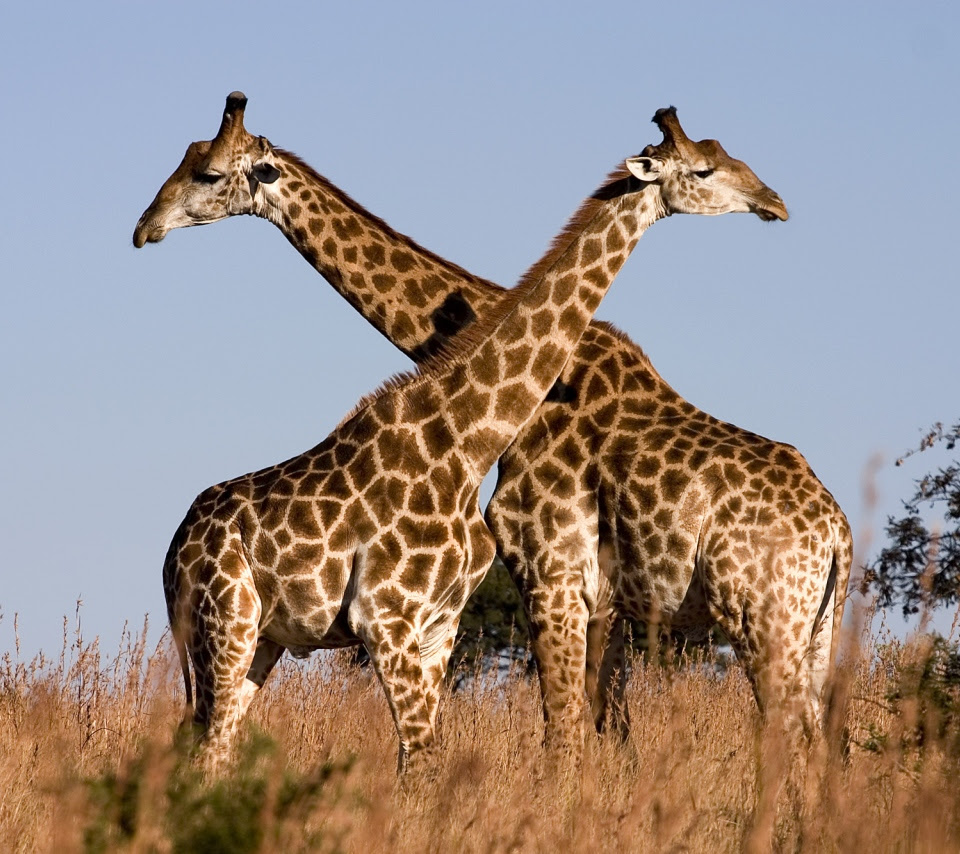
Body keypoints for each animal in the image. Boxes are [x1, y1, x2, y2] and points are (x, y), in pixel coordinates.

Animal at [135, 94, 848, 761]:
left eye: (205, 172)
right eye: (708, 165)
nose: (145, 228)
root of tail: (837, 531)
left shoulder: (550, 578)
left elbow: (569, 736)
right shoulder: (575, 596)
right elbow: (588, 737)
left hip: (770, 620)